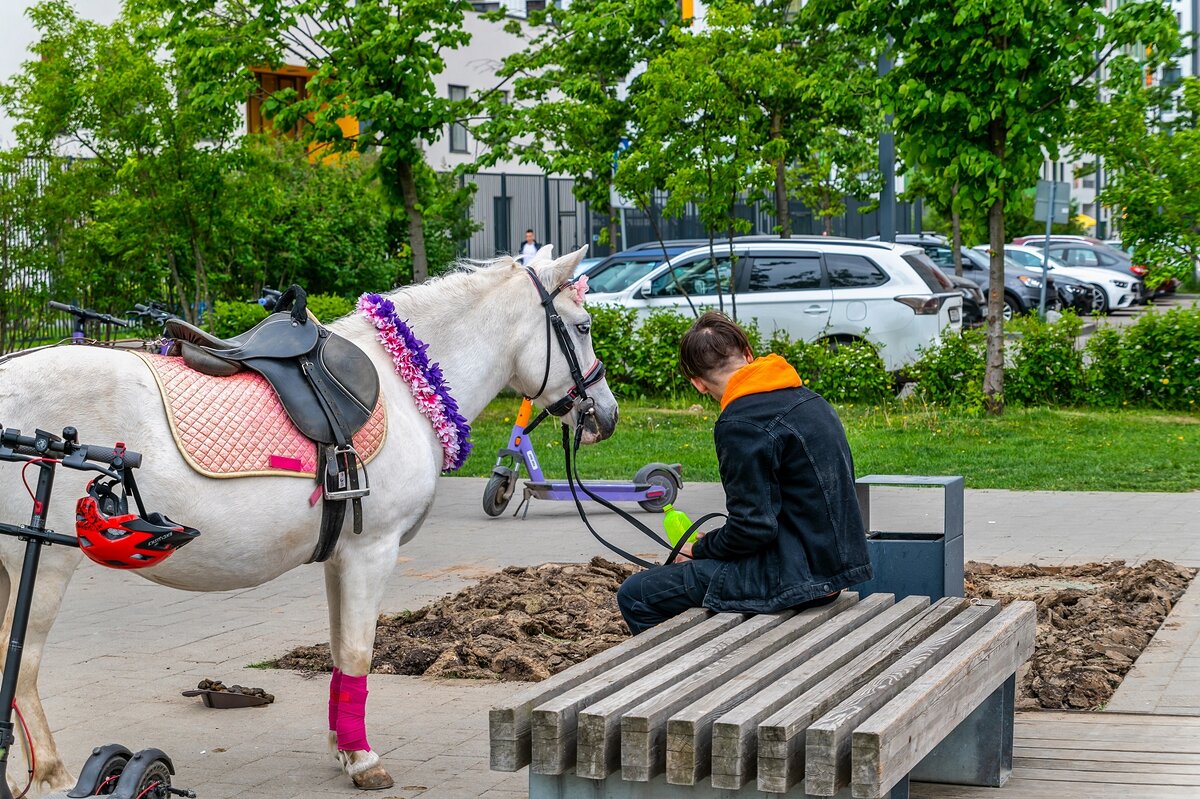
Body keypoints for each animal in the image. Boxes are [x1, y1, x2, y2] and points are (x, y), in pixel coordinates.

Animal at [0, 244, 619, 791]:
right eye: (584, 326)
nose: (606, 416)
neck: (407, 381)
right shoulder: (373, 552)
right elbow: (359, 652)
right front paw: (363, 759)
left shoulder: (341, 556)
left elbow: (340, 652)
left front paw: (343, 749)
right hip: (43, 564)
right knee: (20, 665)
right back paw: (50, 775)